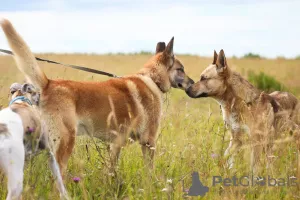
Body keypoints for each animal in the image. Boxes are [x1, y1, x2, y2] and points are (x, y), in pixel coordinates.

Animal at [0, 18, 195, 175]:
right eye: (181, 69)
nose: (193, 83)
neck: (152, 79)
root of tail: (48, 84)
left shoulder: (116, 144)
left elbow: (111, 170)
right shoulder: (149, 141)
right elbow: (149, 171)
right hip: (65, 143)